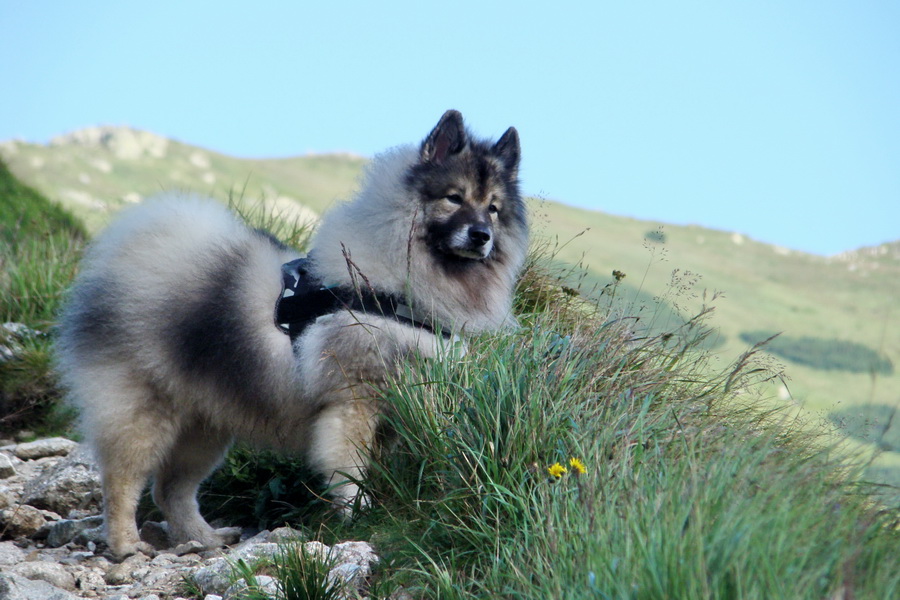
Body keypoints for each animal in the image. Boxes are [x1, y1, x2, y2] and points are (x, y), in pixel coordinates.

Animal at [56, 109, 528, 556]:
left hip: (204, 426)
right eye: (454, 198)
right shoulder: (353, 402)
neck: (388, 285)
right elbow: (350, 469)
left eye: (493, 208)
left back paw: (204, 538)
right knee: (124, 479)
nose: (481, 235)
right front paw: (357, 514)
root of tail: (131, 254)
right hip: (143, 411)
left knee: (171, 489)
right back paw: (125, 544)